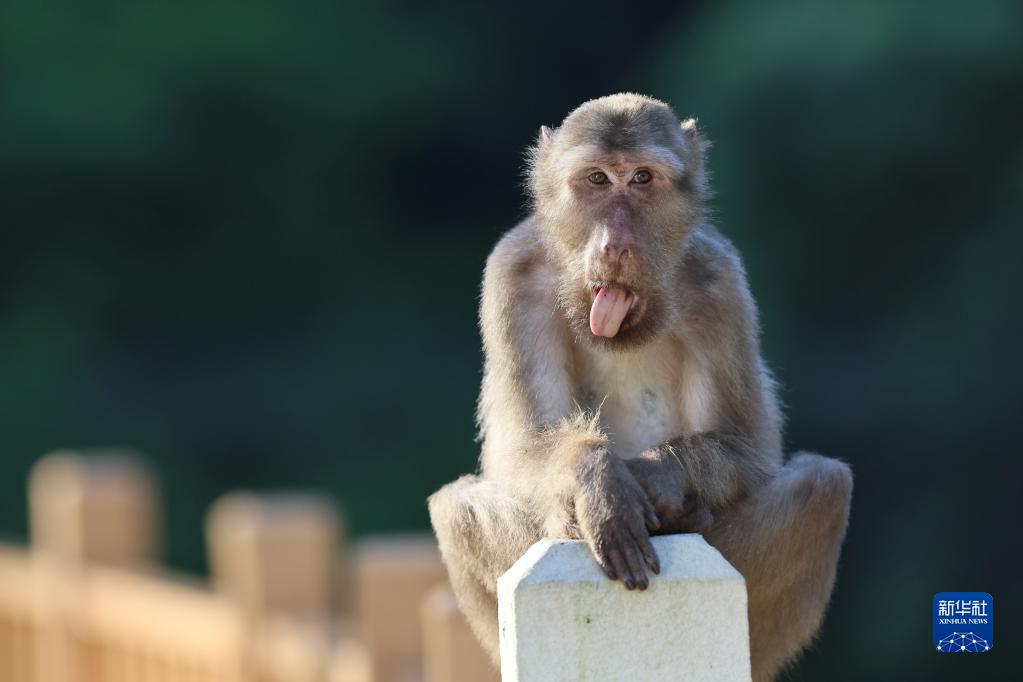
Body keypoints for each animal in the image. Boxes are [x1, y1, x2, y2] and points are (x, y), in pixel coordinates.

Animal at [427, 92, 851, 682]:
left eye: (642, 178)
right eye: (598, 179)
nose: (617, 245)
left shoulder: (721, 281)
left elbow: (747, 449)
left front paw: (656, 476)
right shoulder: (512, 274)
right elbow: (527, 446)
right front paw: (595, 479)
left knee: (822, 487)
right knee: (456, 505)